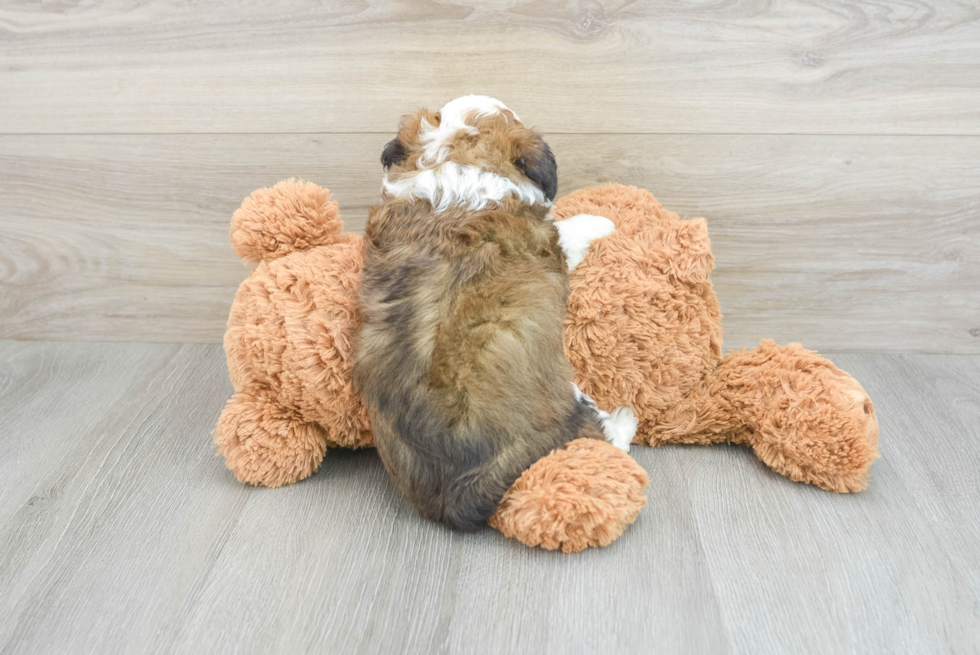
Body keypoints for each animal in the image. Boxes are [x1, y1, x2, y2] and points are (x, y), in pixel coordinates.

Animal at [356, 95, 640, 532]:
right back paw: (626, 421)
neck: (455, 166)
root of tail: (459, 497)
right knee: (602, 437)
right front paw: (602, 220)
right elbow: (571, 227)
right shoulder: (551, 241)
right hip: (571, 410)